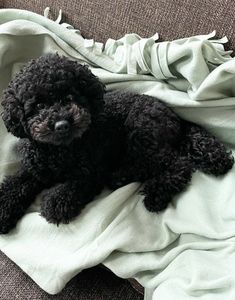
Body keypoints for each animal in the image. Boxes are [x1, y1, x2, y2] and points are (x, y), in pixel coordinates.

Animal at [0, 53, 232, 232]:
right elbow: (15, 184)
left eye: (70, 96)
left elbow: (73, 187)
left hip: (141, 133)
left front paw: (55, 203)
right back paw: (122, 176)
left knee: (178, 164)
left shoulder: (91, 173)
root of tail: (175, 116)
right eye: (38, 105)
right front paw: (5, 210)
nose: (62, 124)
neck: (62, 150)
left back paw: (155, 193)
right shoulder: (35, 169)